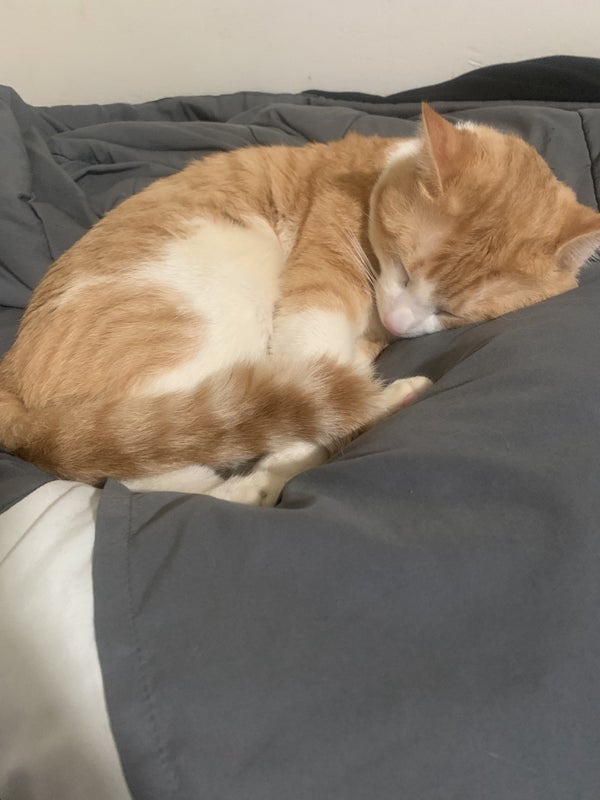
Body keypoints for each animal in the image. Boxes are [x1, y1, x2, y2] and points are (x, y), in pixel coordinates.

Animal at [0, 103, 599, 505]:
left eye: (451, 312)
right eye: (405, 267)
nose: (398, 321)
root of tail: (12, 385)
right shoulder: (319, 292)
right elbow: (314, 370)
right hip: (215, 298)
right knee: (157, 475)